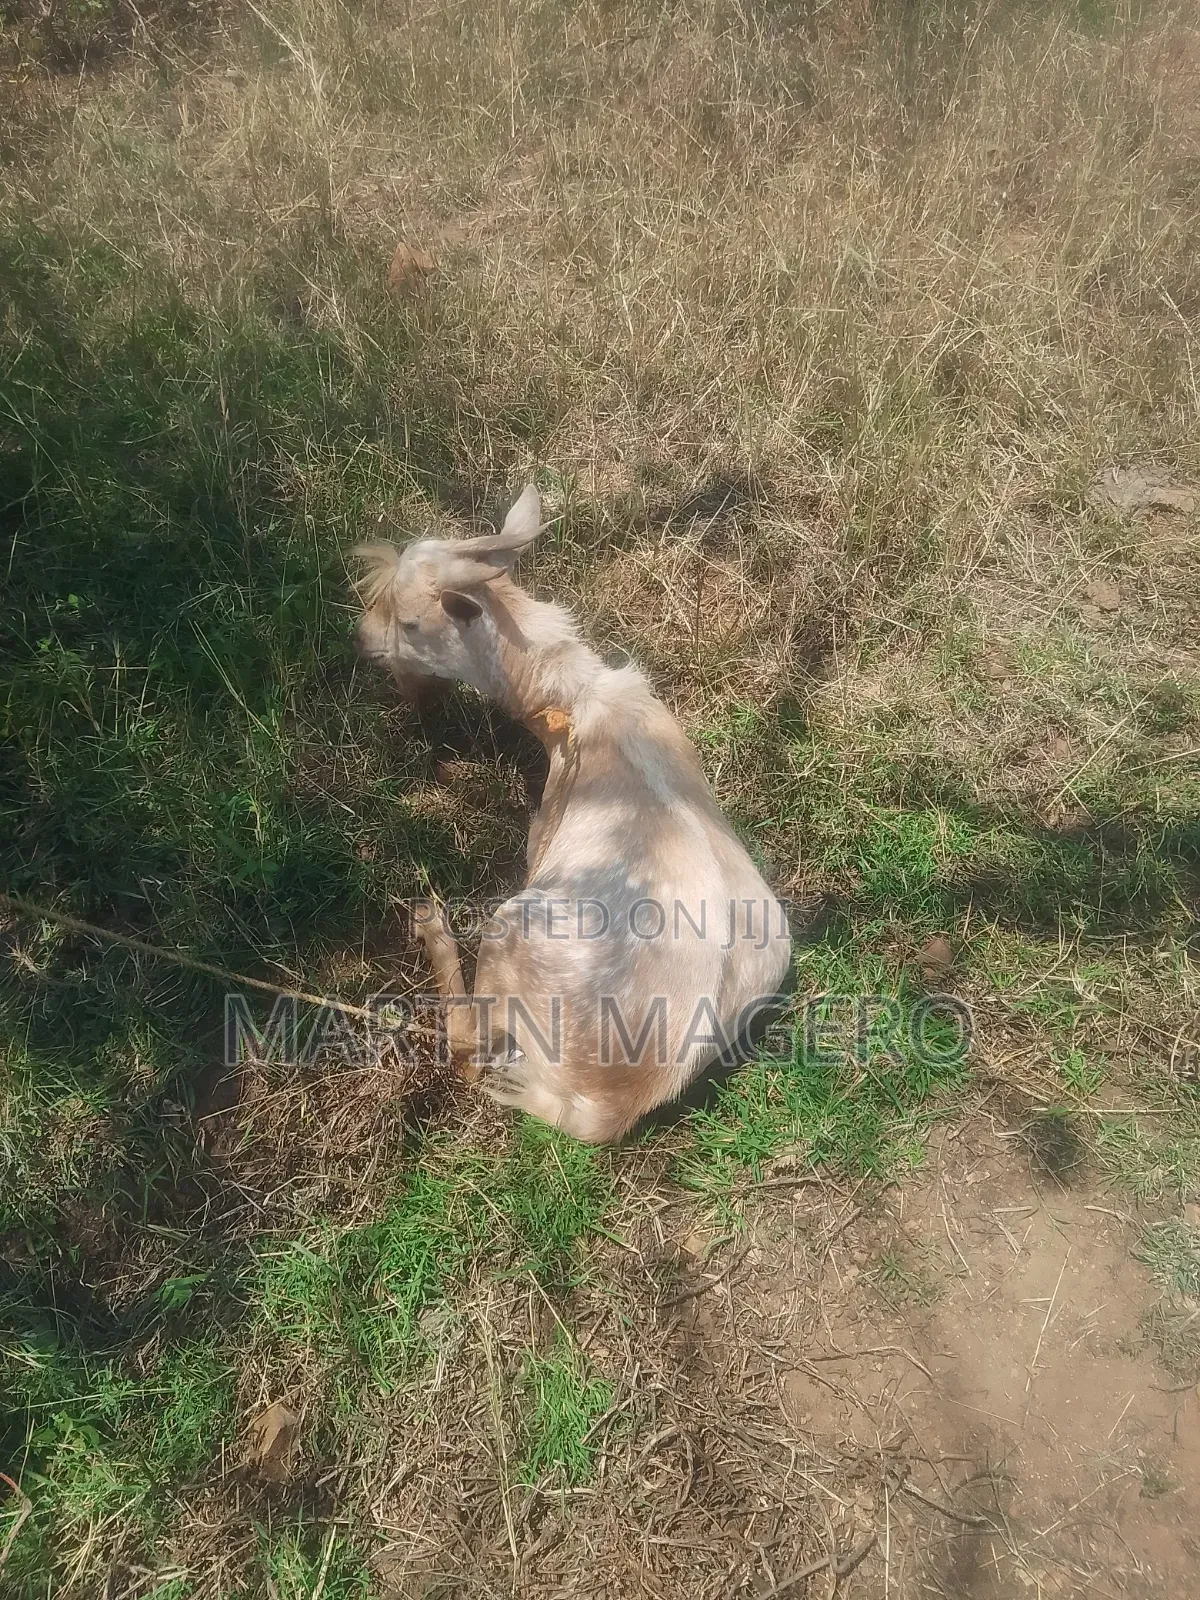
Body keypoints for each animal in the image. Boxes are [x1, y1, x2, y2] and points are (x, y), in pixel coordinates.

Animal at [353, 484, 792, 1143]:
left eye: (408, 622)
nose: (361, 639)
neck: (577, 701)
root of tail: (612, 1106)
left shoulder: (545, 829)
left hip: (515, 932)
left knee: (468, 1051)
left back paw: (434, 928)